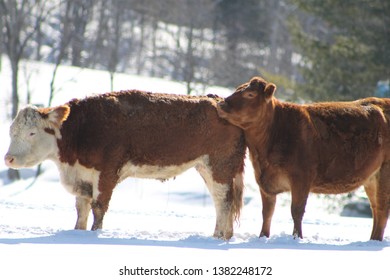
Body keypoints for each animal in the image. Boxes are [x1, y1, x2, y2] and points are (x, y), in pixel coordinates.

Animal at [4, 91, 245, 240]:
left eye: (32, 132)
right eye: (11, 131)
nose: (8, 159)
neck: (83, 130)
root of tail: (219, 100)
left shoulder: (106, 173)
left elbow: (98, 209)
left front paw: (95, 234)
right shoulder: (83, 179)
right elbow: (81, 211)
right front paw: (77, 232)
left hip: (220, 166)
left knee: (223, 202)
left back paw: (219, 237)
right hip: (206, 167)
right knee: (221, 202)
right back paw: (222, 236)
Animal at [216, 76, 390, 241]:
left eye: (250, 94)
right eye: (238, 89)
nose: (221, 103)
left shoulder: (301, 178)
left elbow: (296, 211)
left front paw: (296, 237)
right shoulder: (265, 183)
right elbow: (267, 212)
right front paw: (263, 236)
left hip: (384, 174)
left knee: (382, 209)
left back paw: (375, 241)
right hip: (371, 179)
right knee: (375, 209)